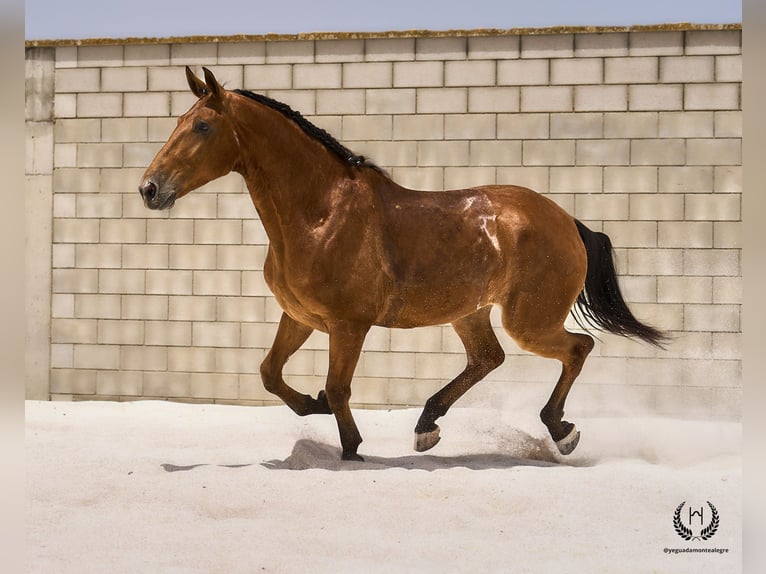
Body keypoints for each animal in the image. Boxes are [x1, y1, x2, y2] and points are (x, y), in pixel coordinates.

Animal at [140, 67, 664, 464]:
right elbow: (270, 373)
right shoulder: (300, 317)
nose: (150, 189)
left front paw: (350, 446)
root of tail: (568, 221)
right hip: (471, 312)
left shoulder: (348, 325)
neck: (320, 214)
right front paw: (313, 405)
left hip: (529, 321)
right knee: (487, 359)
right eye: (179, 120)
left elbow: (339, 386)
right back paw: (427, 425)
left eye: (201, 127)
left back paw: (560, 430)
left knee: (577, 347)